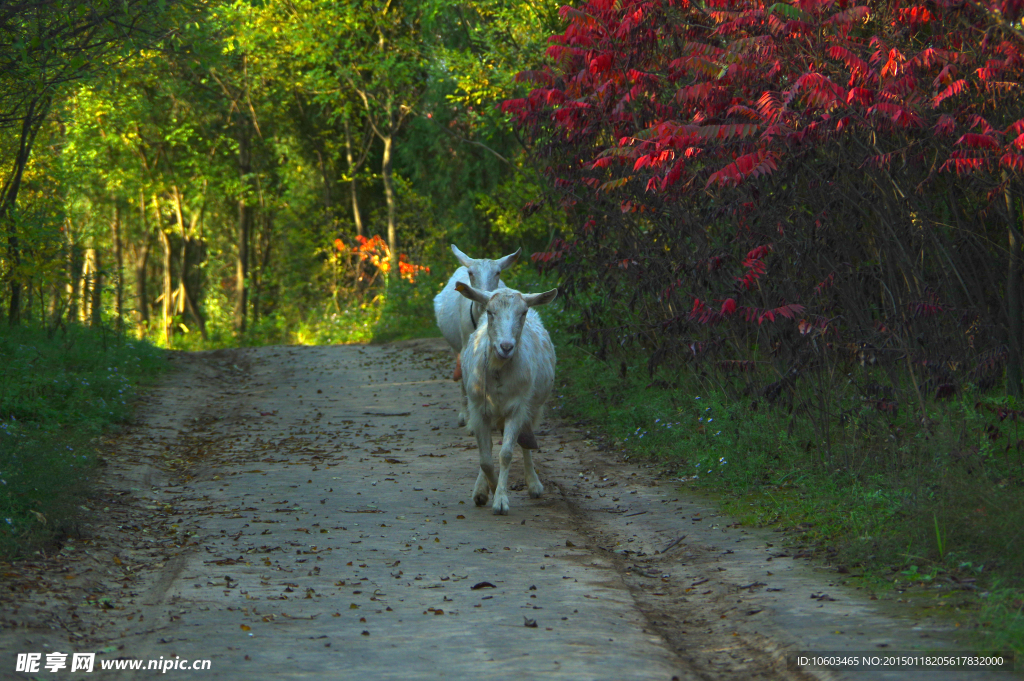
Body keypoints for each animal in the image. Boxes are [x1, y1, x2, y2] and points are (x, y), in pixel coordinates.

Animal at [432, 244, 520, 426]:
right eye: (471, 273)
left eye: (498, 272)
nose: (484, 295)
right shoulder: (466, 344)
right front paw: (466, 416)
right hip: (455, 345)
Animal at [452, 280, 557, 516]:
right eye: (491, 312)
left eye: (523, 312)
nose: (506, 347)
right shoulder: (478, 409)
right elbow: (485, 457)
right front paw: (487, 490)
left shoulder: (517, 408)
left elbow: (506, 453)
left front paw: (500, 500)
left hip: (533, 408)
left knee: (525, 442)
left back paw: (534, 484)